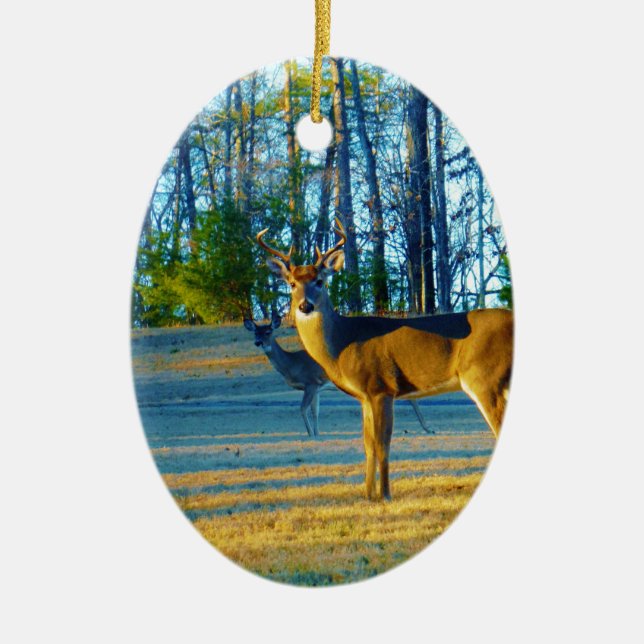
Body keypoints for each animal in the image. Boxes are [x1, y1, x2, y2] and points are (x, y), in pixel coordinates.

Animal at [244, 313, 433, 437]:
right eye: (255, 332)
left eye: (268, 332)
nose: (258, 342)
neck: (292, 364)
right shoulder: (317, 388)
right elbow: (315, 411)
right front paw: (317, 433)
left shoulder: (310, 382)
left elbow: (303, 408)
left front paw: (310, 434)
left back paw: (427, 428)